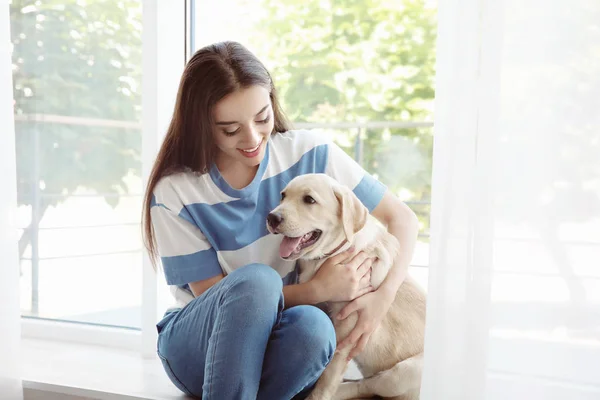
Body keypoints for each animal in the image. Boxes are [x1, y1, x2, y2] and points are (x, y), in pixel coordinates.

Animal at [266, 174, 426, 400]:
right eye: (283, 196)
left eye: (309, 200)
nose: (272, 218)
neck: (334, 253)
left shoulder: (348, 333)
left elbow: (326, 381)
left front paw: (318, 394)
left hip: (402, 374)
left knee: (368, 385)